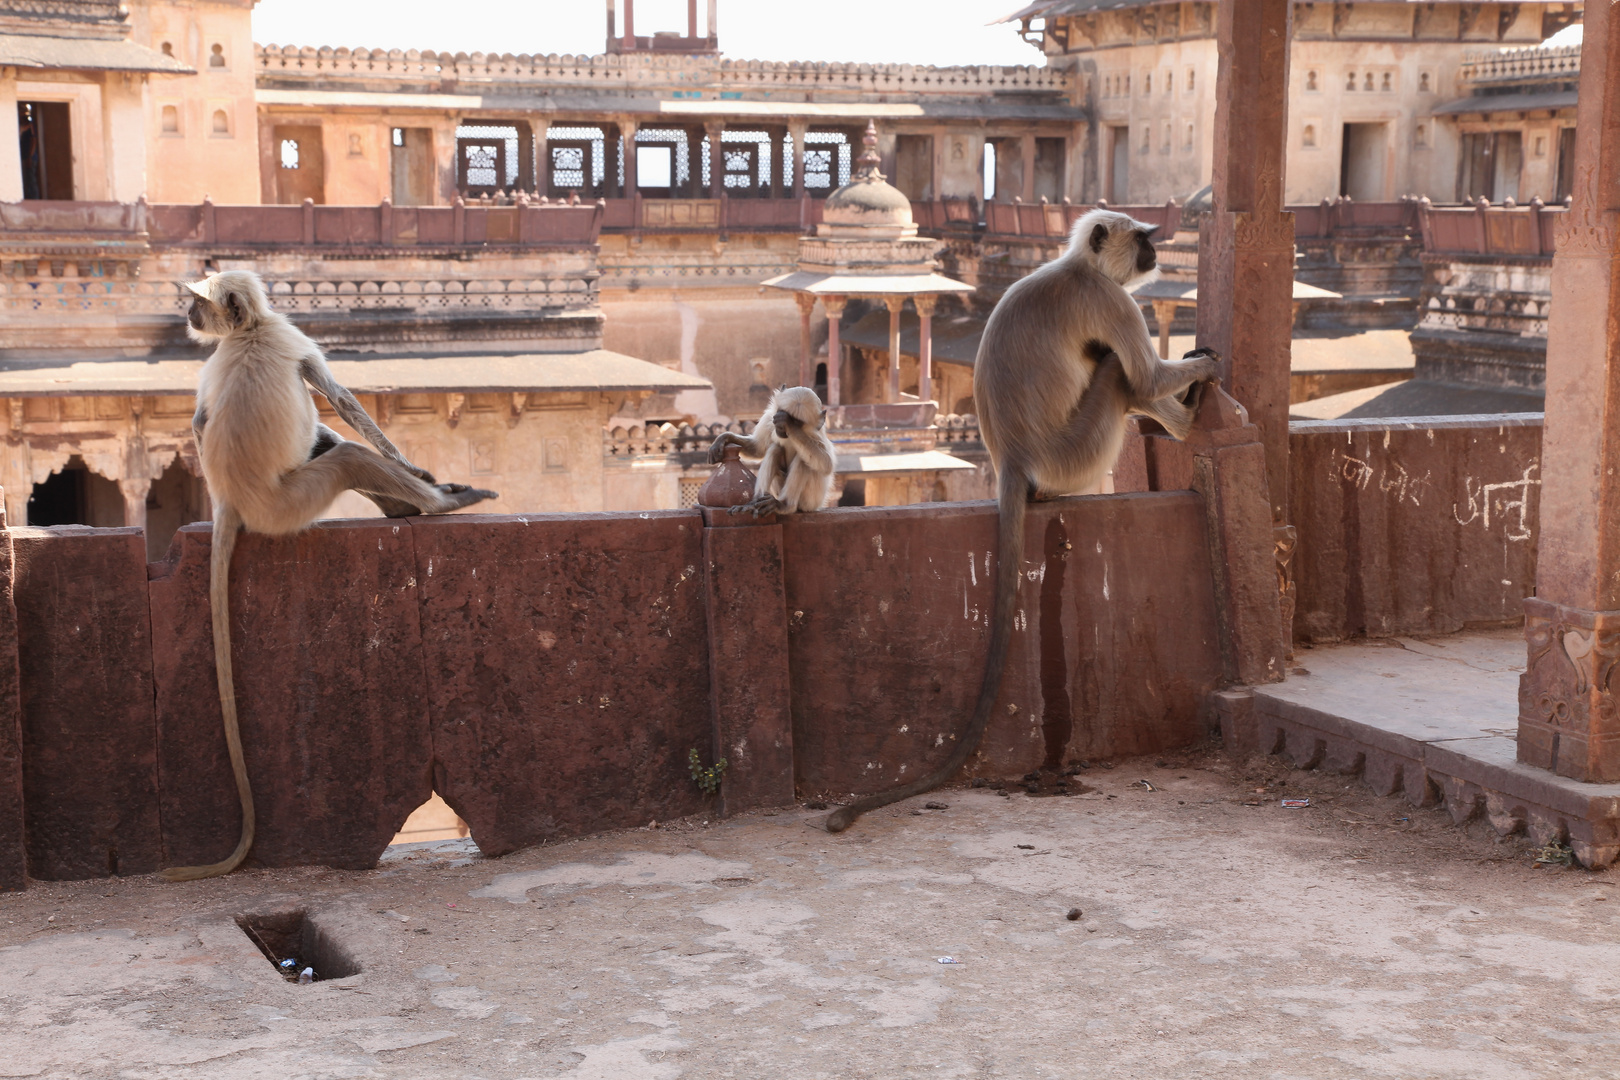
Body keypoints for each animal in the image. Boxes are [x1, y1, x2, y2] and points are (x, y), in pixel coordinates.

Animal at [163, 268, 495, 880]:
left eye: (197, 302)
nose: (188, 316)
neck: (250, 332)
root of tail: (233, 501)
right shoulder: (295, 340)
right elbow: (340, 399)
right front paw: (415, 470)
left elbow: (200, 418)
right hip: (295, 503)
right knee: (345, 454)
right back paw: (438, 503)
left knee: (330, 444)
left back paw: (407, 505)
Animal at [706, 386, 835, 518]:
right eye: (780, 413)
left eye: (795, 421)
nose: (781, 427)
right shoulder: (769, 418)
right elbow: (758, 448)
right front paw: (725, 437)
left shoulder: (815, 434)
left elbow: (827, 464)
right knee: (775, 449)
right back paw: (754, 503)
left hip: (811, 501)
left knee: (804, 459)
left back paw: (784, 505)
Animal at [829, 213, 1218, 835]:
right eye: (1142, 238)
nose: (1155, 252)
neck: (1080, 267)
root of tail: (1013, 460)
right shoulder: (1108, 300)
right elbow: (1146, 374)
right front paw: (1202, 365)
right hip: (1080, 453)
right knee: (1118, 371)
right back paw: (1188, 419)